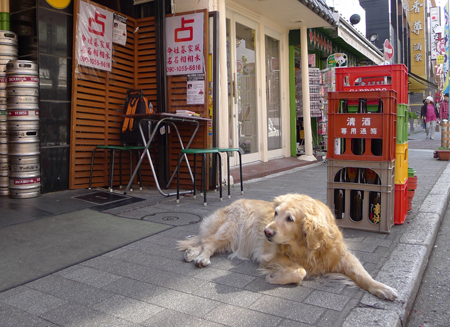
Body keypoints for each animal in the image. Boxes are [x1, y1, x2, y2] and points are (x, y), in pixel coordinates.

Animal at [178, 193, 400, 302]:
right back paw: (201, 258)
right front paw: (275, 277)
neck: (307, 247)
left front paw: (383, 288)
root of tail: (233, 203)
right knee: (208, 243)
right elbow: (300, 271)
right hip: (230, 231)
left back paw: (192, 254)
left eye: (290, 219)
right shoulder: (269, 256)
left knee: (204, 242)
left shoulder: (342, 256)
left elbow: (363, 274)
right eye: (275, 213)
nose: (266, 232)